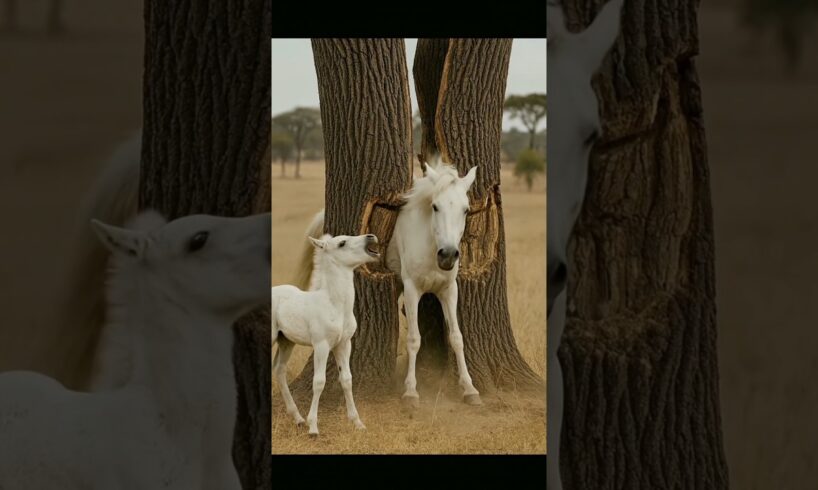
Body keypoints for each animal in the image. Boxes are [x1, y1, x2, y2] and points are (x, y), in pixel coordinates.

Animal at [272, 233, 379, 436]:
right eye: (342, 243)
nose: (371, 236)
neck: (335, 305)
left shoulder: (344, 344)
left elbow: (347, 379)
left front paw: (357, 422)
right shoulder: (321, 345)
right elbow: (319, 381)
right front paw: (313, 427)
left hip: (286, 341)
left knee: (279, 370)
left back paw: (297, 418)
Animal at [297, 155, 482, 408]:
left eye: (466, 210)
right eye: (435, 207)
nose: (448, 255)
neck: (429, 245)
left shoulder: (449, 290)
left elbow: (456, 337)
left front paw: (469, 388)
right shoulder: (413, 290)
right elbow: (414, 339)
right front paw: (411, 392)